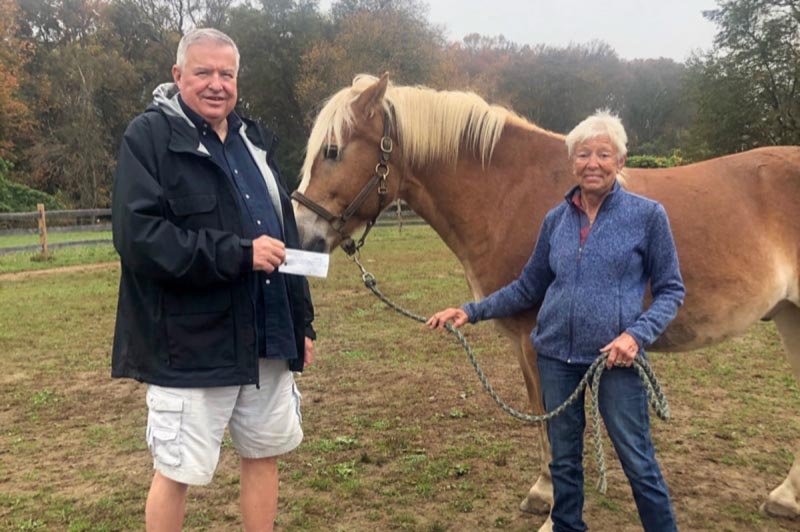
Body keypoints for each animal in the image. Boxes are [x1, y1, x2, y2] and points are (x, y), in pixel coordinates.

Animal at [292, 73, 800, 529]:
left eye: (332, 151)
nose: (303, 235)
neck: (512, 192)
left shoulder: (543, 343)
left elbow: (556, 426)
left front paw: (556, 509)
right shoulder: (526, 343)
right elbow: (541, 420)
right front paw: (543, 493)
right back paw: (785, 497)